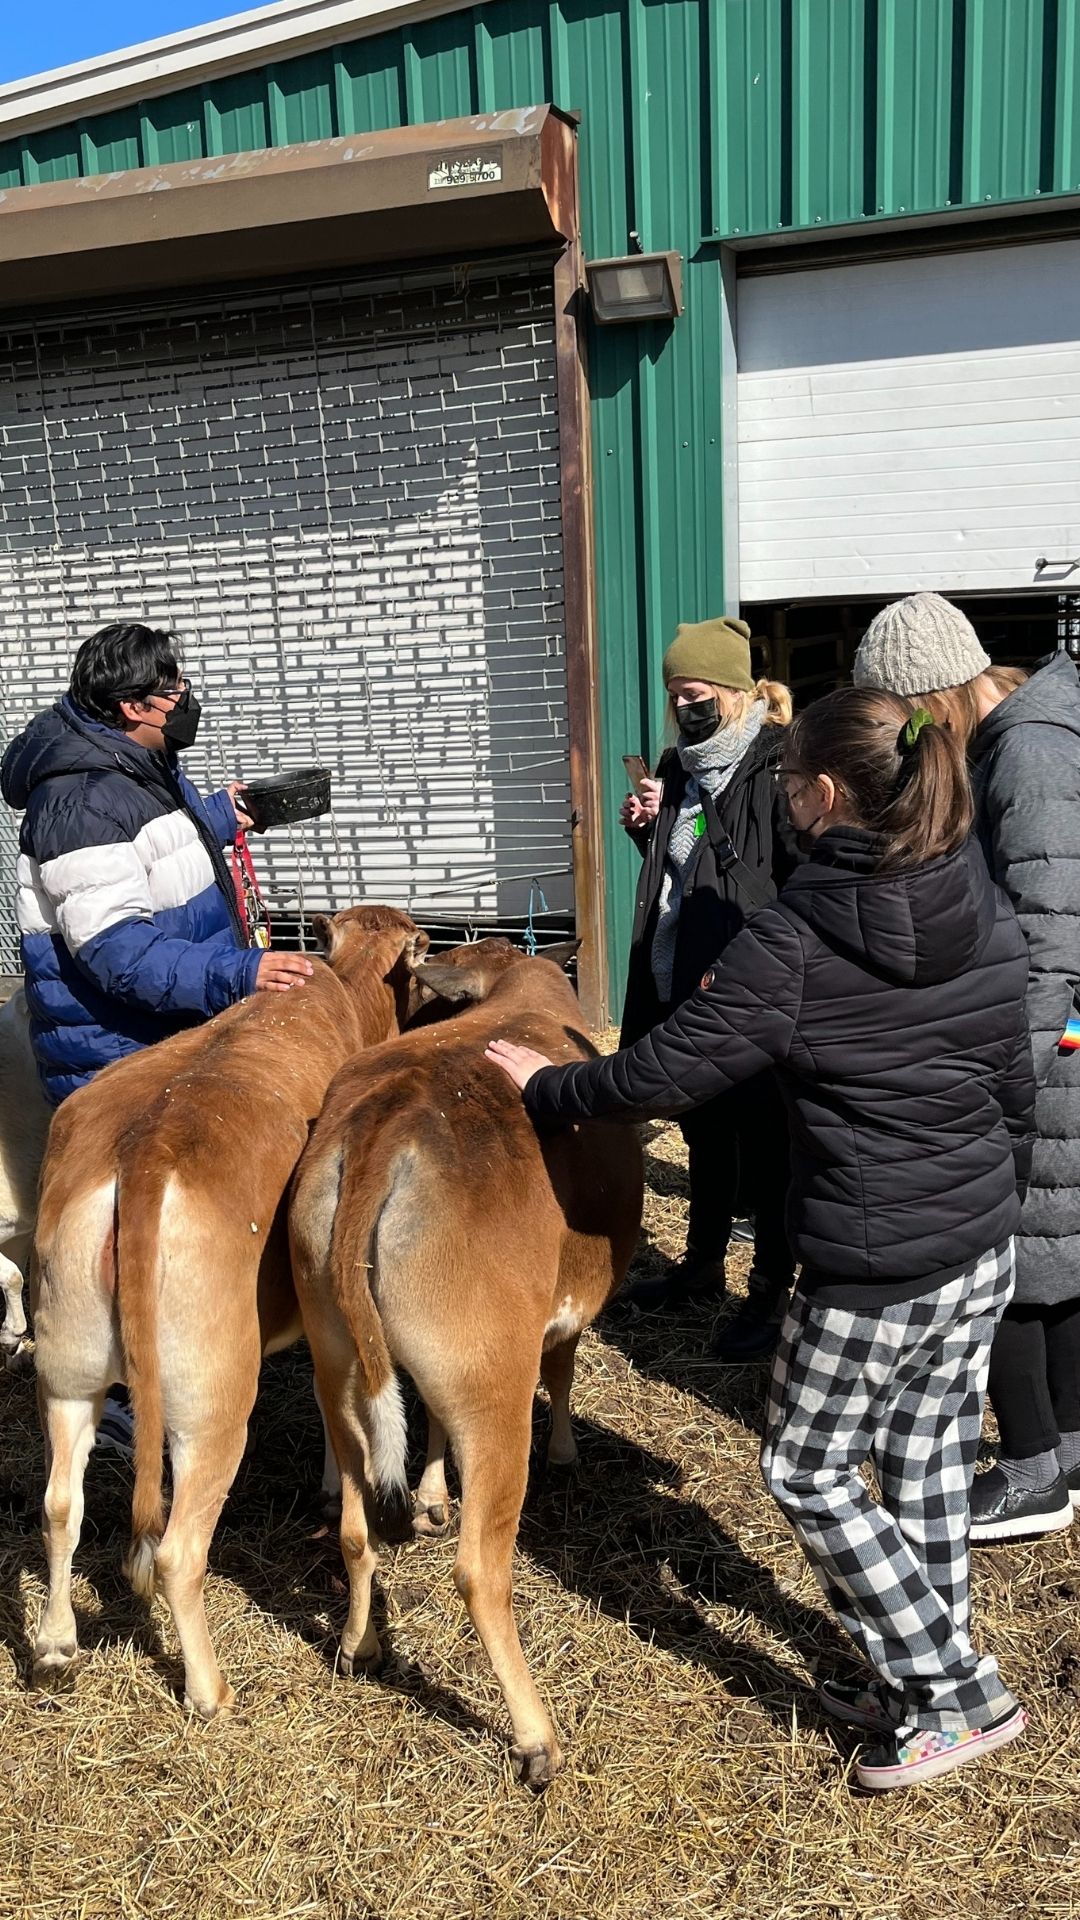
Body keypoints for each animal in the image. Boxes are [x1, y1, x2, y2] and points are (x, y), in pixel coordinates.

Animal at [32, 906, 420, 1720]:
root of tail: (145, 1153)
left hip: (66, 1369)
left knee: (59, 1506)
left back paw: (54, 1645)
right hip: (213, 1405)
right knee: (178, 1551)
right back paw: (208, 1691)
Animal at [288, 936, 638, 1789]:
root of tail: (382, 1129)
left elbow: (429, 1425)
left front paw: (431, 1494)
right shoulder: (556, 1320)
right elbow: (564, 1370)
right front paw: (567, 1450)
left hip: (339, 1365)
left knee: (355, 1527)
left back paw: (358, 1645)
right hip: (494, 1391)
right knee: (481, 1571)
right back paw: (537, 1739)